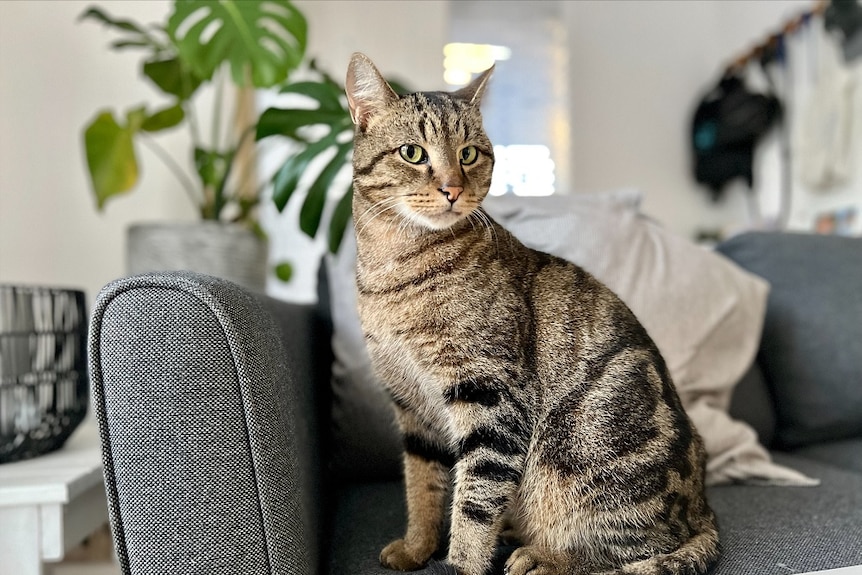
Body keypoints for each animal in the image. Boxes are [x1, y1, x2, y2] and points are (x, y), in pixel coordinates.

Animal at [348, 50, 720, 575]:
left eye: (468, 154)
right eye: (413, 153)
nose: (452, 189)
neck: (391, 269)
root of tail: (704, 509)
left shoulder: (491, 396)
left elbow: (473, 503)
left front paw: (459, 565)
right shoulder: (411, 406)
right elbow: (422, 485)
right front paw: (417, 546)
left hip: (576, 460)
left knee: (634, 549)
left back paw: (543, 556)